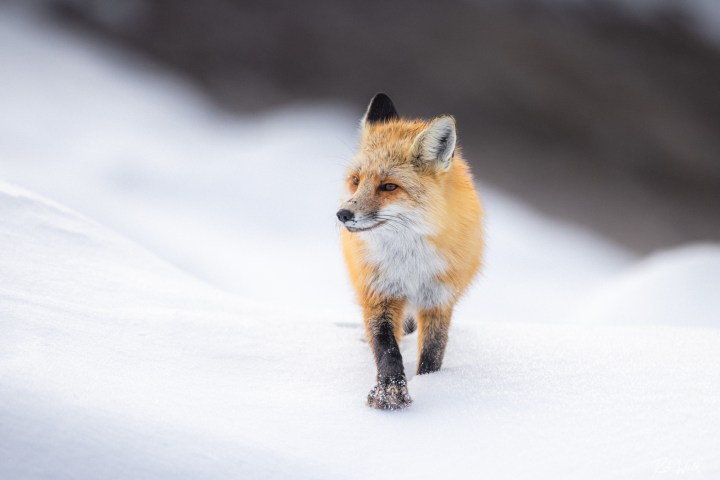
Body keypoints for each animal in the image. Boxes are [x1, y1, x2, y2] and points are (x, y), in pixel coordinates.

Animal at [337, 93, 484, 409]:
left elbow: (432, 352)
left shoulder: (438, 299)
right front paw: (390, 393)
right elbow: (386, 350)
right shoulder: (378, 293)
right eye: (356, 180)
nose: (343, 214)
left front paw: (432, 384)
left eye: (389, 186)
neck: (409, 265)